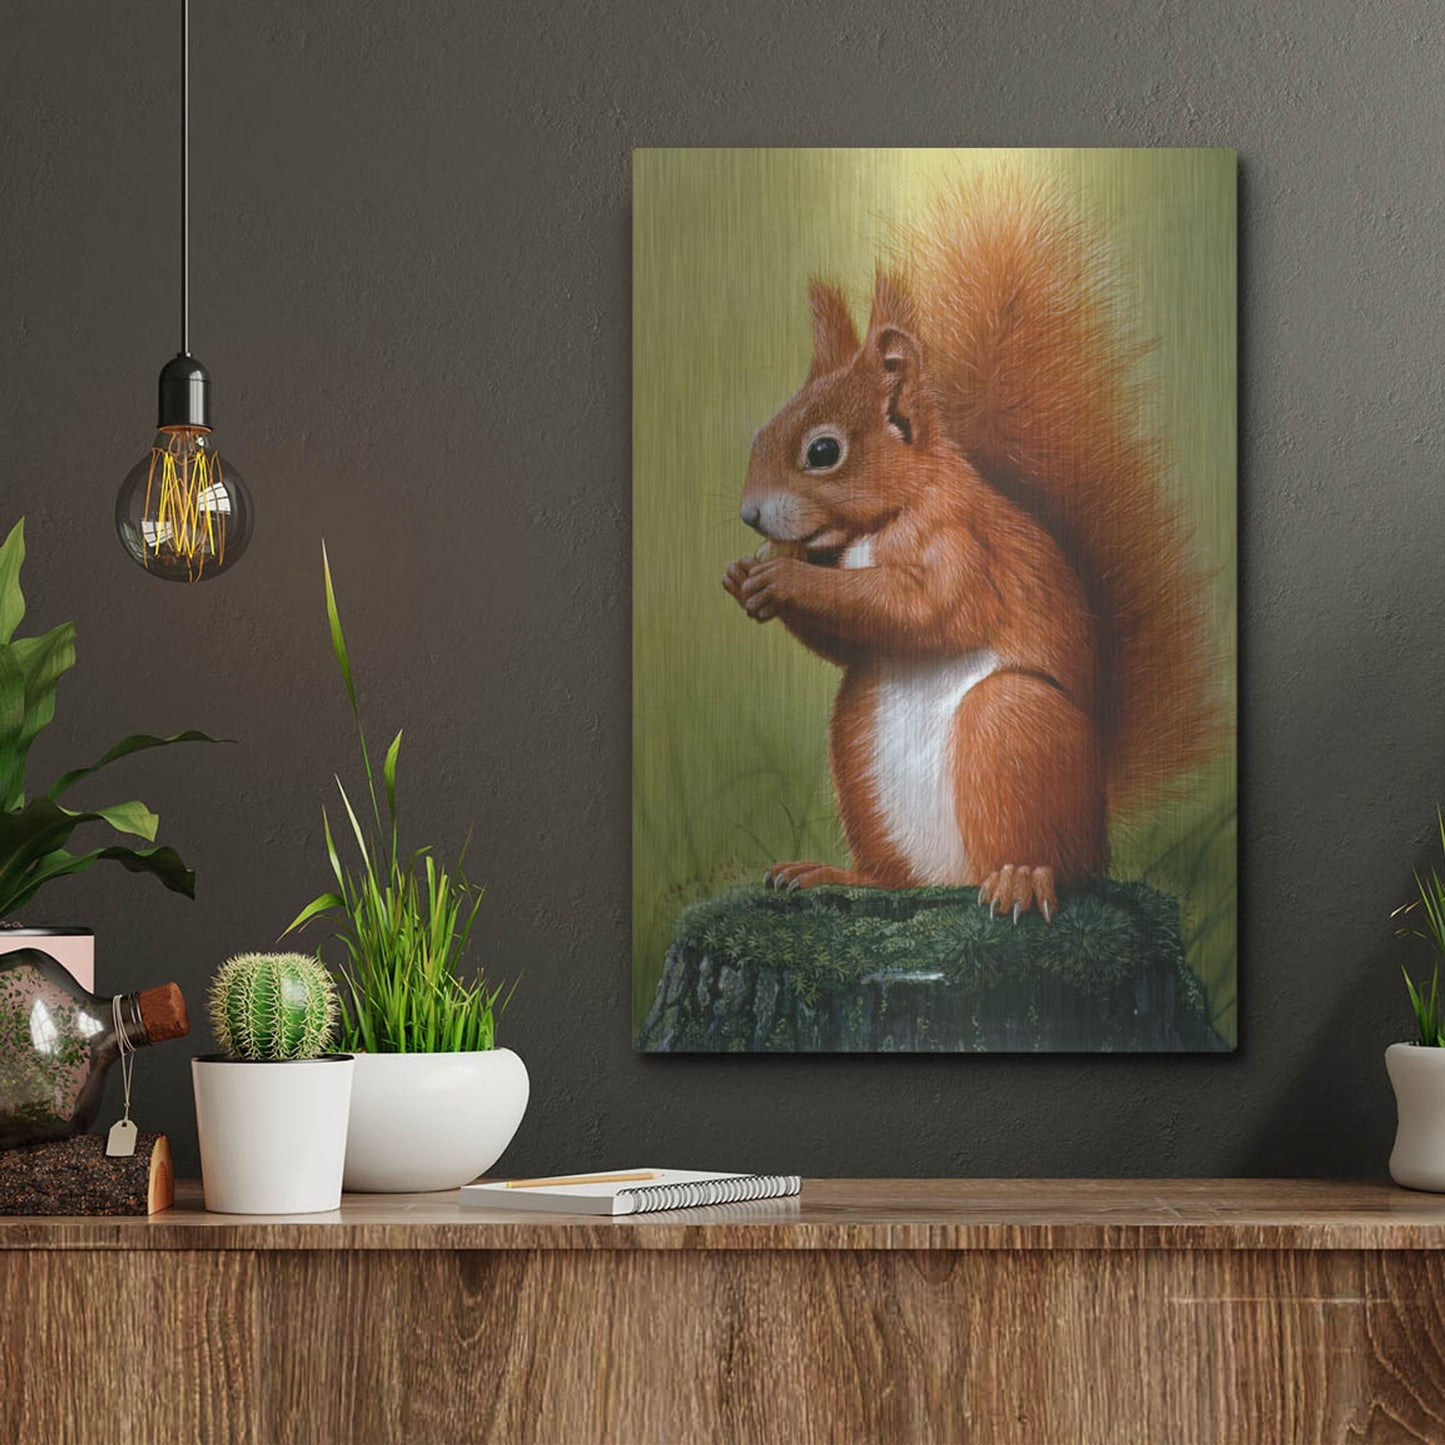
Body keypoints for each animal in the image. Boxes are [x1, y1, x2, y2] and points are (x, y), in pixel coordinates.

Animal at [723, 173, 1216, 922]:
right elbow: (850, 639)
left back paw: (1022, 878)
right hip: (856, 745)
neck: (879, 524)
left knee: (1052, 858)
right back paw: (837, 873)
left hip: (1011, 727)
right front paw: (745, 579)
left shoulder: (962, 547)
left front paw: (784, 580)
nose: (749, 515)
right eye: (760, 431)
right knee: (897, 877)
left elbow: (925, 608)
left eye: (823, 452)